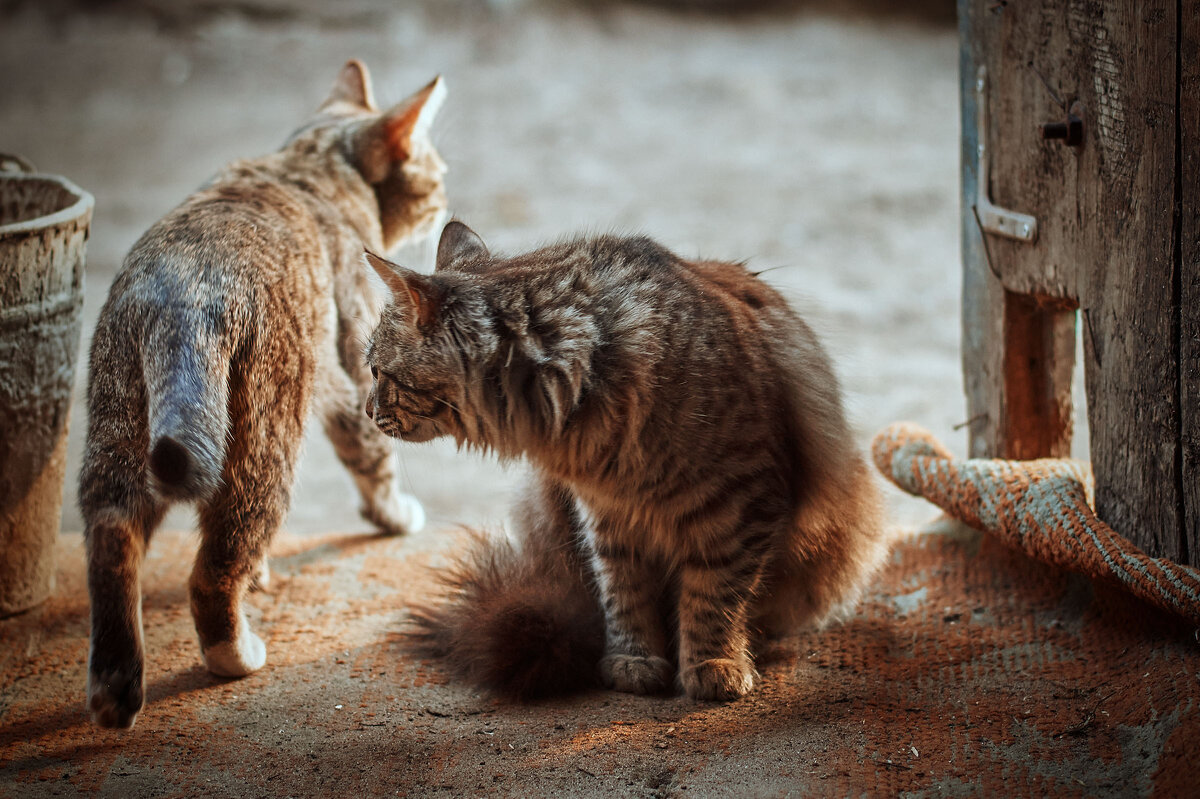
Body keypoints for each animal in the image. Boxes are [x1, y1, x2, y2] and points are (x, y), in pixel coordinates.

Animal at [81, 59, 446, 724]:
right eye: (435, 175)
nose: (445, 198)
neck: (308, 165)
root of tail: (183, 297)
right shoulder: (353, 369)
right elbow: (374, 459)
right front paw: (393, 516)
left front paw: (265, 573)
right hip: (267, 440)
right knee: (214, 567)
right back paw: (236, 653)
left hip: (117, 423)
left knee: (113, 536)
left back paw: (115, 690)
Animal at [360, 219, 888, 695]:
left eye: (376, 371)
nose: (366, 410)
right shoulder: (605, 517)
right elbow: (625, 597)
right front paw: (635, 660)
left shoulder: (742, 503)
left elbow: (713, 595)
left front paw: (712, 662)